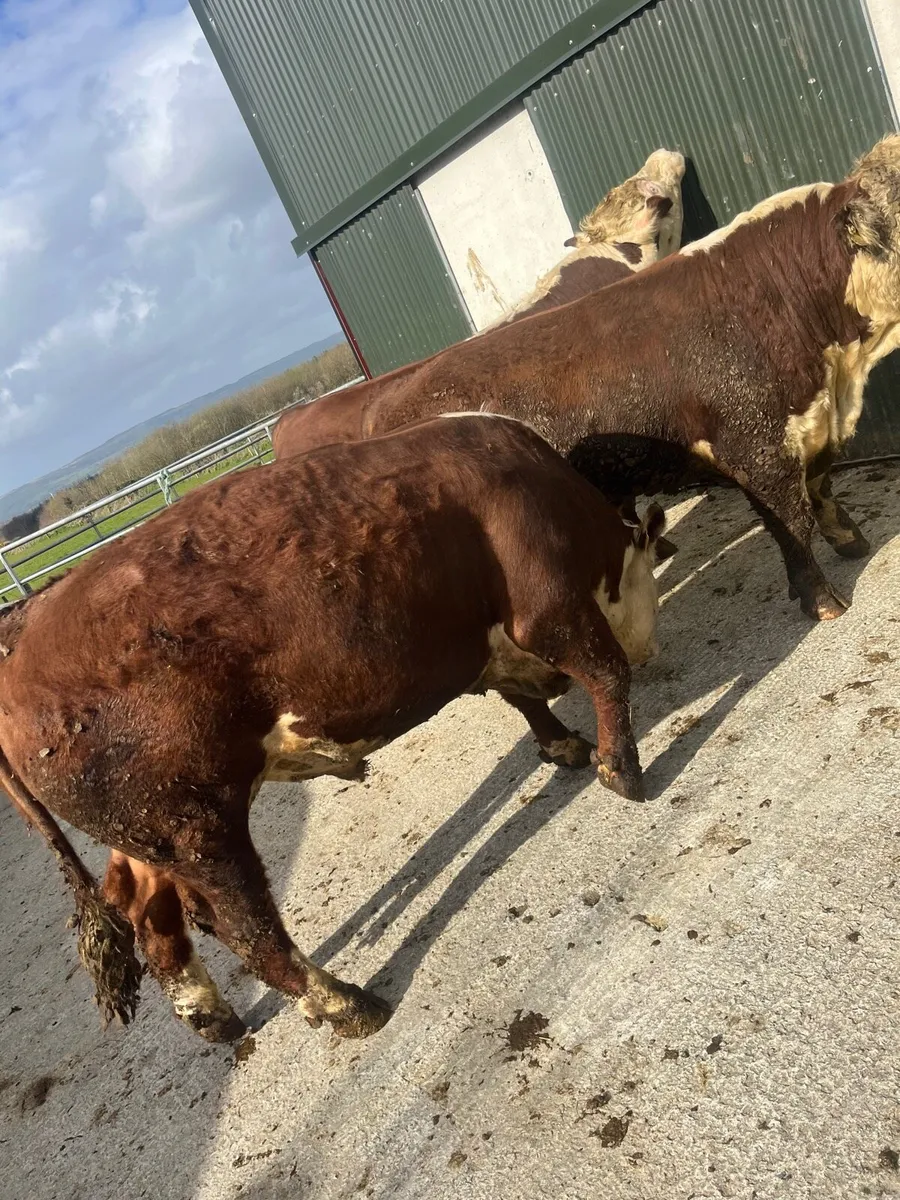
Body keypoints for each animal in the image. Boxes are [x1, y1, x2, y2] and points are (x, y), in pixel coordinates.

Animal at [0, 414, 666, 1044]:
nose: (652, 648)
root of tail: (22, 630)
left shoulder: (488, 639)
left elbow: (521, 696)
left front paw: (563, 744)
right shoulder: (550, 608)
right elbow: (606, 674)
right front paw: (622, 770)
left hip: (150, 832)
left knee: (147, 908)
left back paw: (214, 1017)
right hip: (198, 830)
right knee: (244, 928)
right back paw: (347, 1004)